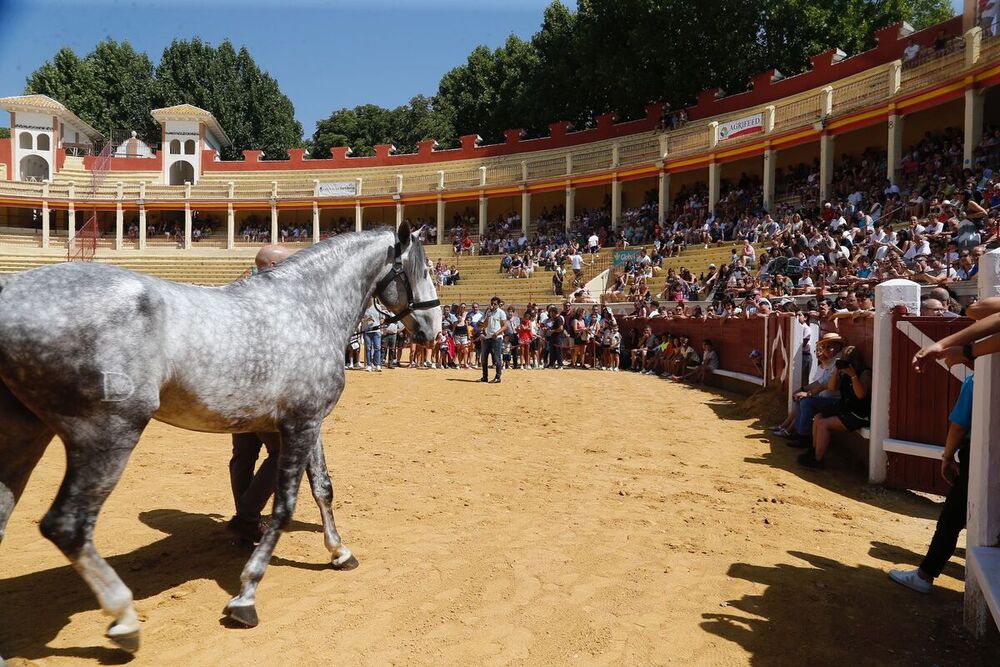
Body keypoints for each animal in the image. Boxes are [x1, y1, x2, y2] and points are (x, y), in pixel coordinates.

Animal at [0, 223, 442, 656]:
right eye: (423, 269)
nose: (434, 329)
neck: (308, 306)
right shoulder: (299, 425)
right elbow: (284, 506)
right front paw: (246, 598)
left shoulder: (309, 422)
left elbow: (323, 489)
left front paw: (339, 552)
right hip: (107, 434)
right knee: (67, 526)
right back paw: (124, 619)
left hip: (25, 438)